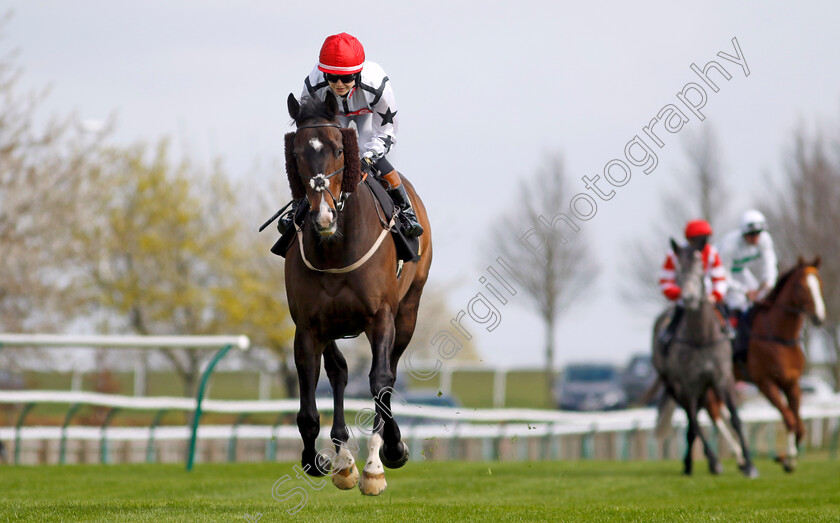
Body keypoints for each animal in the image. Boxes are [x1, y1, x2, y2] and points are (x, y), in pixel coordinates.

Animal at [282, 92, 434, 498]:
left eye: (338, 149)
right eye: (297, 153)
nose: (322, 215)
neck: (336, 248)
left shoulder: (381, 317)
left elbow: (380, 382)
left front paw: (377, 464)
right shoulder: (308, 327)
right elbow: (309, 407)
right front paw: (316, 460)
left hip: (408, 311)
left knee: (389, 373)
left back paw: (383, 449)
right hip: (333, 325)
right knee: (339, 371)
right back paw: (342, 458)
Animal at [648, 239, 760, 476]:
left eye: (701, 268)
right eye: (678, 268)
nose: (689, 298)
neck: (701, 336)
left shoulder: (723, 378)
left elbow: (735, 418)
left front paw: (749, 464)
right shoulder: (689, 382)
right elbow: (694, 423)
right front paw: (704, 462)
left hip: (704, 388)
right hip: (675, 385)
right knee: (693, 421)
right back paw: (703, 462)